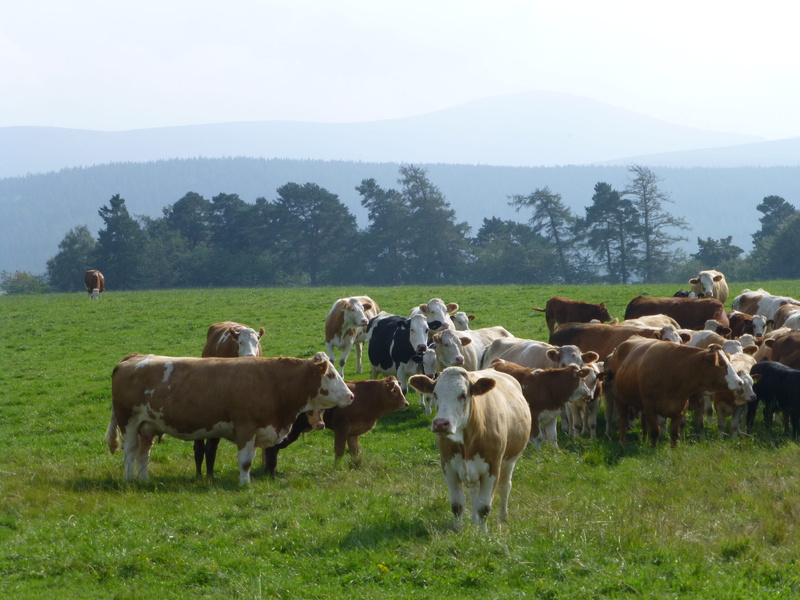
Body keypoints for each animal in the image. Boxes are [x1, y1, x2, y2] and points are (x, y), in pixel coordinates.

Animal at [106, 352, 354, 485]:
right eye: (331, 375)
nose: (351, 396)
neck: (273, 381)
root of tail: (135, 357)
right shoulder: (246, 427)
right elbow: (245, 461)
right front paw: (245, 484)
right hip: (128, 421)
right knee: (130, 452)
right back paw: (130, 480)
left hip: (147, 426)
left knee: (143, 454)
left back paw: (144, 479)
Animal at [263, 377, 407, 475]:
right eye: (395, 390)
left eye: (400, 389)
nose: (406, 403)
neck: (364, 397)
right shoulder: (341, 429)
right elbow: (339, 451)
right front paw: (336, 468)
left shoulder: (353, 432)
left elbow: (355, 451)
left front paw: (356, 465)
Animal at [408, 367, 531, 532]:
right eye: (435, 394)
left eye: (463, 395)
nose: (441, 423)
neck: (466, 443)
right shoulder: (448, 467)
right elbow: (457, 505)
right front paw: (458, 530)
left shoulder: (492, 468)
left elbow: (484, 506)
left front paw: (482, 533)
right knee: (474, 493)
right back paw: (474, 521)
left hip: (509, 461)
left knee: (505, 486)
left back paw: (502, 518)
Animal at [606, 337, 744, 447]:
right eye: (721, 364)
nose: (740, 382)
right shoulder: (650, 406)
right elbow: (655, 430)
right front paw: (653, 448)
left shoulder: (680, 408)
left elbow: (674, 433)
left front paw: (673, 449)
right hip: (620, 399)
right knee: (622, 419)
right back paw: (622, 441)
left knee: (643, 423)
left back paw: (644, 440)